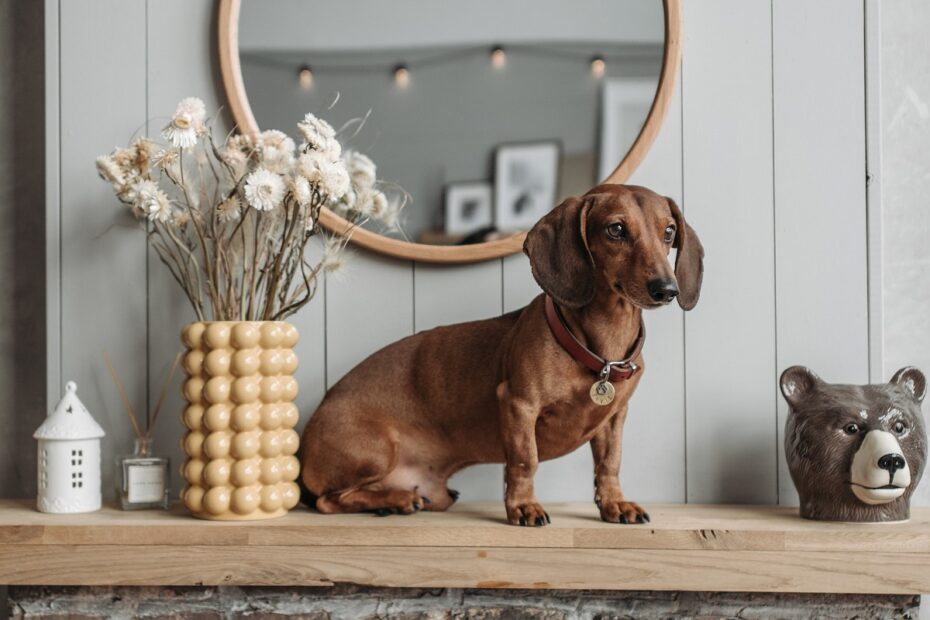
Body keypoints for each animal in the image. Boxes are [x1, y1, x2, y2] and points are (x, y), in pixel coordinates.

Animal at [300, 183, 700, 524]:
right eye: (615, 229)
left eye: (668, 232)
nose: (667, 289)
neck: (599, 351)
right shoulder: (518, 404)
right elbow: (525, 461)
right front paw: (523, 507)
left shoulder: (615, 418)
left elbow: (609, 463)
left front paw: (616, 503)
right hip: (377, 449)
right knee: (327, 501)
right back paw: (394, 501)